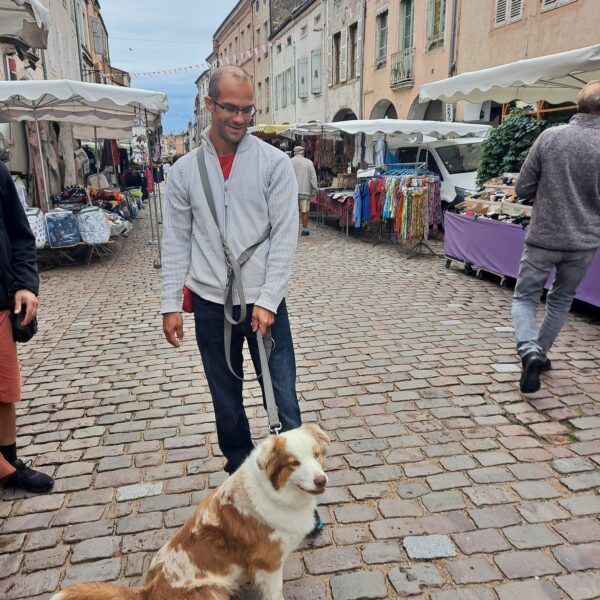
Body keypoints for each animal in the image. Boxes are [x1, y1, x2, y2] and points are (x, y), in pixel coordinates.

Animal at [51, 422, 330, 600]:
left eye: (316, 455)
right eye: (294, 463)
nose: (322, 481)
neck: (275, 493)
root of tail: (147, 591)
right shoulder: (268, 563)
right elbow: (276, 592)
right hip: (209, 591)